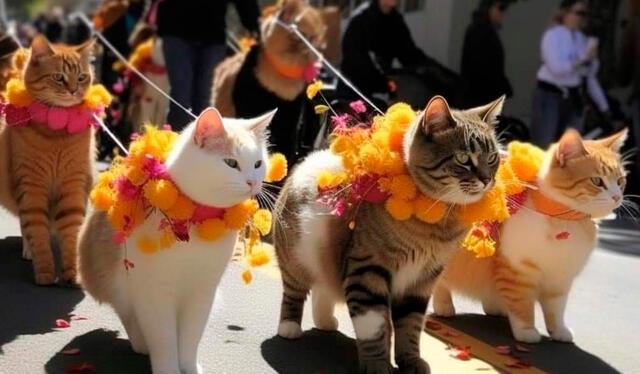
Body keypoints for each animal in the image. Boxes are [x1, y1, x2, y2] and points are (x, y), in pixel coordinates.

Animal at [0, 35, 96, 286]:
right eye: (59, 77)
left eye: (81, 77)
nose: (73, 91)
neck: (57, 133)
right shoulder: (31, 187)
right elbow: (37, 233)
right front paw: (44, 272)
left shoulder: (73, 187)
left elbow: (71, 235)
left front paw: (73, 273)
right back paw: (28, 250)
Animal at [79, 108, 274, 374]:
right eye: (231, 163)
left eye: (258, 164)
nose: (253, 182)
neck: (197, 217)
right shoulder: (155, 293)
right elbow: (164, 340)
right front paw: (168, 368)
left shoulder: (202, 292)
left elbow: (191, 338)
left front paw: (189, 366)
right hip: (115, 282)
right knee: (129, 315)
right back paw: (141, 342)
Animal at [276, 96, 504, 374]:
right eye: (463, 158)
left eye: (492, 157)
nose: (487, 180)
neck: (437, 222)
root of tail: (310, 159)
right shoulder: (368, 273)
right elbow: (374, 327)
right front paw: (376, 364)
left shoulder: (422, 281)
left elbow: (410, 327)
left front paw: (410, 361)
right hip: (296, 259)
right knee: (294, 292)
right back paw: (289, 327)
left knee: (323, 290)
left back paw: (325, 321)